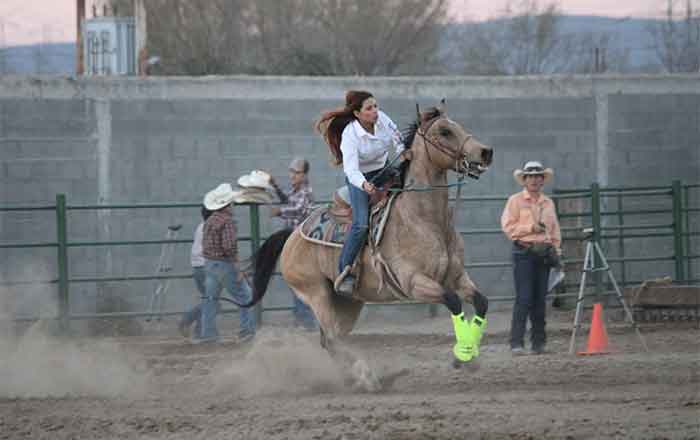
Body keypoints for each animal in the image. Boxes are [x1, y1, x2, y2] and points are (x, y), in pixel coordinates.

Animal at [251, 103, 494, 391]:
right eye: (445, 131)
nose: (485, 152)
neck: (424, 219)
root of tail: (294, 234)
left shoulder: (456, 277)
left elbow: (481, 302)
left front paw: (470, 354)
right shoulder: (414, 282)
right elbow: (453, 301)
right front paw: (463, 353)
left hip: (347, 303)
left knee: (330, 340)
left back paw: (356, 377)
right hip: (316, 293)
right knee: (332, 339)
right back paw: (367, 377)